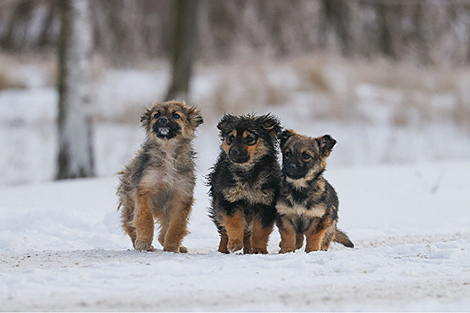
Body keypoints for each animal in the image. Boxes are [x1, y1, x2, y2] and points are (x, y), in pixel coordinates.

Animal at [116, 101, 203, 252]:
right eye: (156, 115)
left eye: (176, 115)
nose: (163, 119)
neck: (168, 150)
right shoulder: (145, 191)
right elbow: (145, 219)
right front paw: (144, 242)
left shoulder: (181, 197)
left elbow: (176, 227)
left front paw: (172, 247)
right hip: (130, 205)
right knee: (130, 225)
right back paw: (139, 243)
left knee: (163, 234)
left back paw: (179, 247)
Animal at [210, 113, 282, 252]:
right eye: (231, 138)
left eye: (249, 138)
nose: (233, 151)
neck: (248, 172)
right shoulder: (229, 199)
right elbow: (234, 223)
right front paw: (235, 243)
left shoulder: (266, 204)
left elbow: (260, 232)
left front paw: (259, 250)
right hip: (217, 206)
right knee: (224, 231)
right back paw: (223, 249)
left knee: (248, 234)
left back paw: (248, 250)